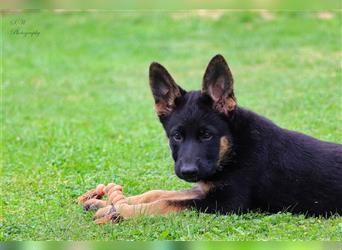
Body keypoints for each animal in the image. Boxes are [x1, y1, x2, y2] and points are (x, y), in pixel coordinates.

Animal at [78, 53, 342, 224]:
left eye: (206, 135)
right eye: (176, 136)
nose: (187, 171)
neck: (235, 147)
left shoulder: (226, 202)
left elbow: (165, 203)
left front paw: (119, 212)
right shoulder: (205, 187)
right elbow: (158, 193)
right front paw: (107, 204)